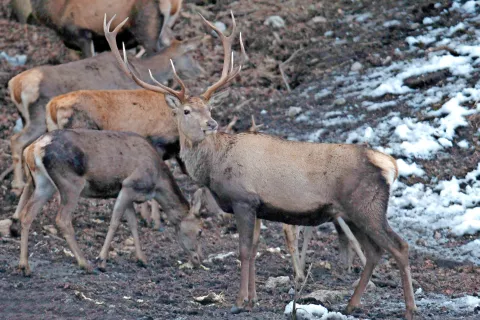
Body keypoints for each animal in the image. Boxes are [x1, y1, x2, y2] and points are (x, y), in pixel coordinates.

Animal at [5, 30, 206, 195]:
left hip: (28, 118)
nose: (202, 71)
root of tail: (15, 85)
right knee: (17, 140)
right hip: (38, 117)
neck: (141, 70)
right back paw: (18, 185)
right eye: (191, 55)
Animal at [12, 129, 201, 276]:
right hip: (71, 183)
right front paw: (102, 260)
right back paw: (85, 263)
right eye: (200, 231)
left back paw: (24, 266)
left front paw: (142, 259)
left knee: (27, 214)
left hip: (44, 183)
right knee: (62, 219)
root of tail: (33, 148)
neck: (157, 183)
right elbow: (115, 222)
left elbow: (133, 223)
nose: (199, 259)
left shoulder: (127, 192)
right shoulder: (129, 185)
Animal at [104, 11, 416, 318]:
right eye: (187, 111)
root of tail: (389, 165)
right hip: (353, 212)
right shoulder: (258, 207)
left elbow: (243, 251)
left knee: (399, 246)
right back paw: (352, 304)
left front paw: (239, 301)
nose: (211, 124)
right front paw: (252, 299)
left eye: (210, 108)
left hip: (366, 205)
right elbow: (254, 250)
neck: (214, 166)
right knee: (375, 252)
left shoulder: (243, 199)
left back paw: (409, 309)